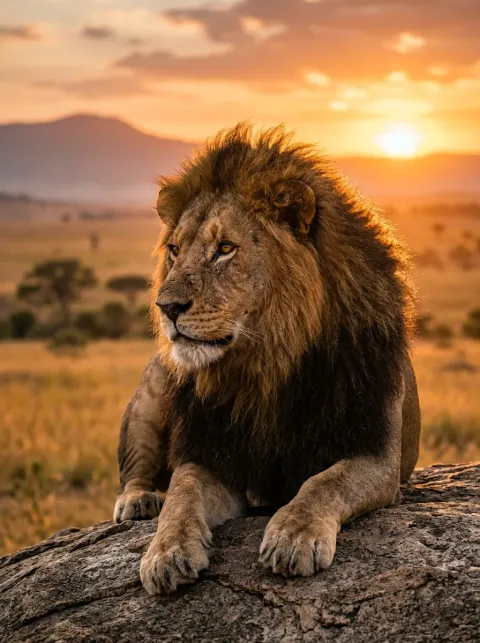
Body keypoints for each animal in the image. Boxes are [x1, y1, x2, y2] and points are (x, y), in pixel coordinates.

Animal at [113, 123, 421, 595]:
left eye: (224, 248)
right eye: (174, 251)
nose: (166, 307)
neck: (265, 364)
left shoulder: (376, 454)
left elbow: (324, 482)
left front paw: (293, 536)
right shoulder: (212, 453)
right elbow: (182, 492)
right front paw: (165, 552)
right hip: (153, 390)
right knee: (136, 468)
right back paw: (139, 500)